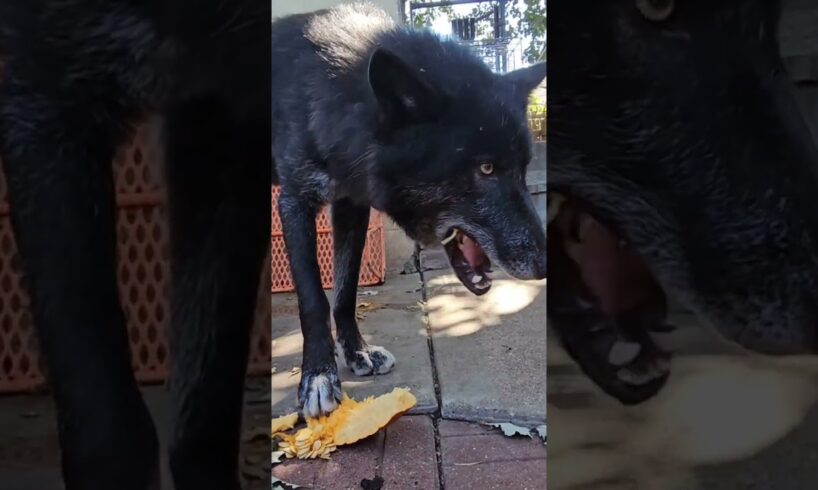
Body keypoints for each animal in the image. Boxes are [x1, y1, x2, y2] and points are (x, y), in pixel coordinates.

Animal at [272, 2, 548, 418]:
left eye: (522, 168)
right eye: (486, 169)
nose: (546, 264)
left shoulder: (351, 206)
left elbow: (345, 291)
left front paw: (357, 352)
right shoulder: (294, 203)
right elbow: (313, 299)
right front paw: (318, 377)